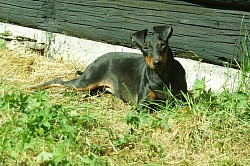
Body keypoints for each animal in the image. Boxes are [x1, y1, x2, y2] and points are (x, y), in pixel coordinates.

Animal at [32, 25, 187, 109]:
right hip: (87, 81)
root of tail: (97, 59)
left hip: (94, 88)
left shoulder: (182, 100)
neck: (161, 75)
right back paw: (35, 87)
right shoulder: (143, 104)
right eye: (145, 47)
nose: (157, 62)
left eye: (163, 45)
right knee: (58, 81)